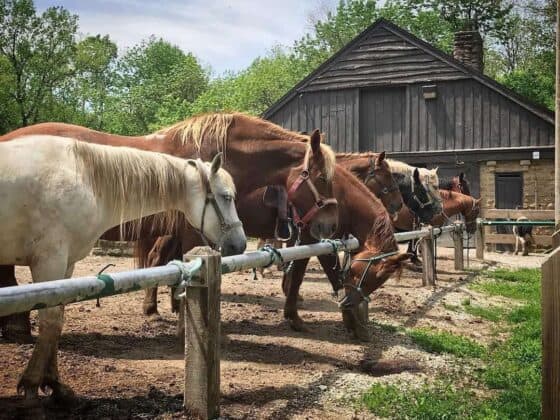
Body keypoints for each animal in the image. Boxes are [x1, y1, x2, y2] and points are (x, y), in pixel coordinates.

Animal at [0, 135, 245, 404]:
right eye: (226, 196)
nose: (240, 244)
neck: (83, 176)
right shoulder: (49, 260)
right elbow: (50, 321)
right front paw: (32, 383)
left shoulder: (66, 265)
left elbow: (58, 320)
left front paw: (54, 384)